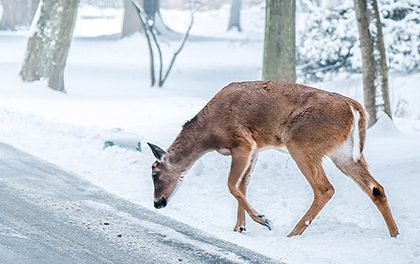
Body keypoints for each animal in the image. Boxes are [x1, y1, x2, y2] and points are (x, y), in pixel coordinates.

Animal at [146, 80, 398, 237]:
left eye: (155, 173)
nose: (157, 203)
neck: (209, 134)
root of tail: (354, 107)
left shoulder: (243, 142)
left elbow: (231, 185)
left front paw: (263, 219)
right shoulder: (256, 149)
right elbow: (243, 186)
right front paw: (240, 228)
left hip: (301, 142)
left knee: (324, 188)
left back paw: (292, 233)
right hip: (343, 153)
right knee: (376, 188)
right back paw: (395, 234)